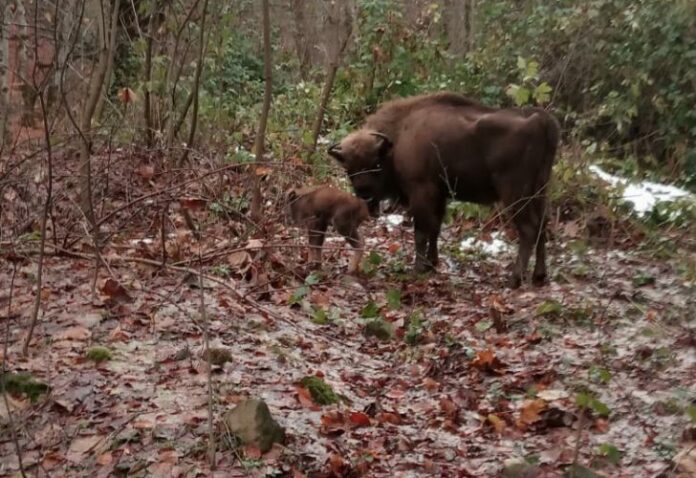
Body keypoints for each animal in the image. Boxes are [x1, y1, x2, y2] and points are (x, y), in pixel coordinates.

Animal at [328, 92, 564, 288]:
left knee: (529, 229)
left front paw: (418, 268)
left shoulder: (421, 192)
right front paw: (432, 264)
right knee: (543, 224)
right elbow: (435, 228)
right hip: (540, 190)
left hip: (515, 194)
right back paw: (539, 276)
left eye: (376, 163)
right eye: (349, 169)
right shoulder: (439, 195)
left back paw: (515, 280)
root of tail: (541, 120)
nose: (364, 193)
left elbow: (421, 231)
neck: (399, 137)